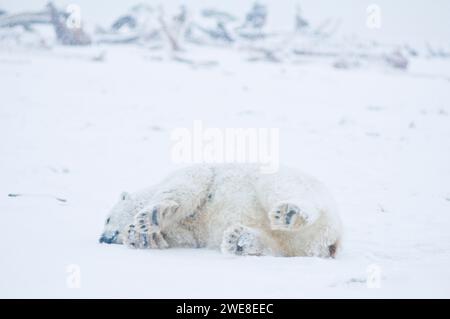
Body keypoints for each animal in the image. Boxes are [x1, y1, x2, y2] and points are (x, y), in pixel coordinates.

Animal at [99, 164, 342, 258]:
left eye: (107, 218)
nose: (102, 238)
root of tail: (334, 241)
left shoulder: (195, 172)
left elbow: (188, 185)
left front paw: (150, 218)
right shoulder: (191, 232)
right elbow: (184, 237)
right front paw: (143, 236)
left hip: (290, 183)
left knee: (283, 189)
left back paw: (289, 213)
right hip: (298, 244)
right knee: (277, 246)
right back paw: (239, 240)